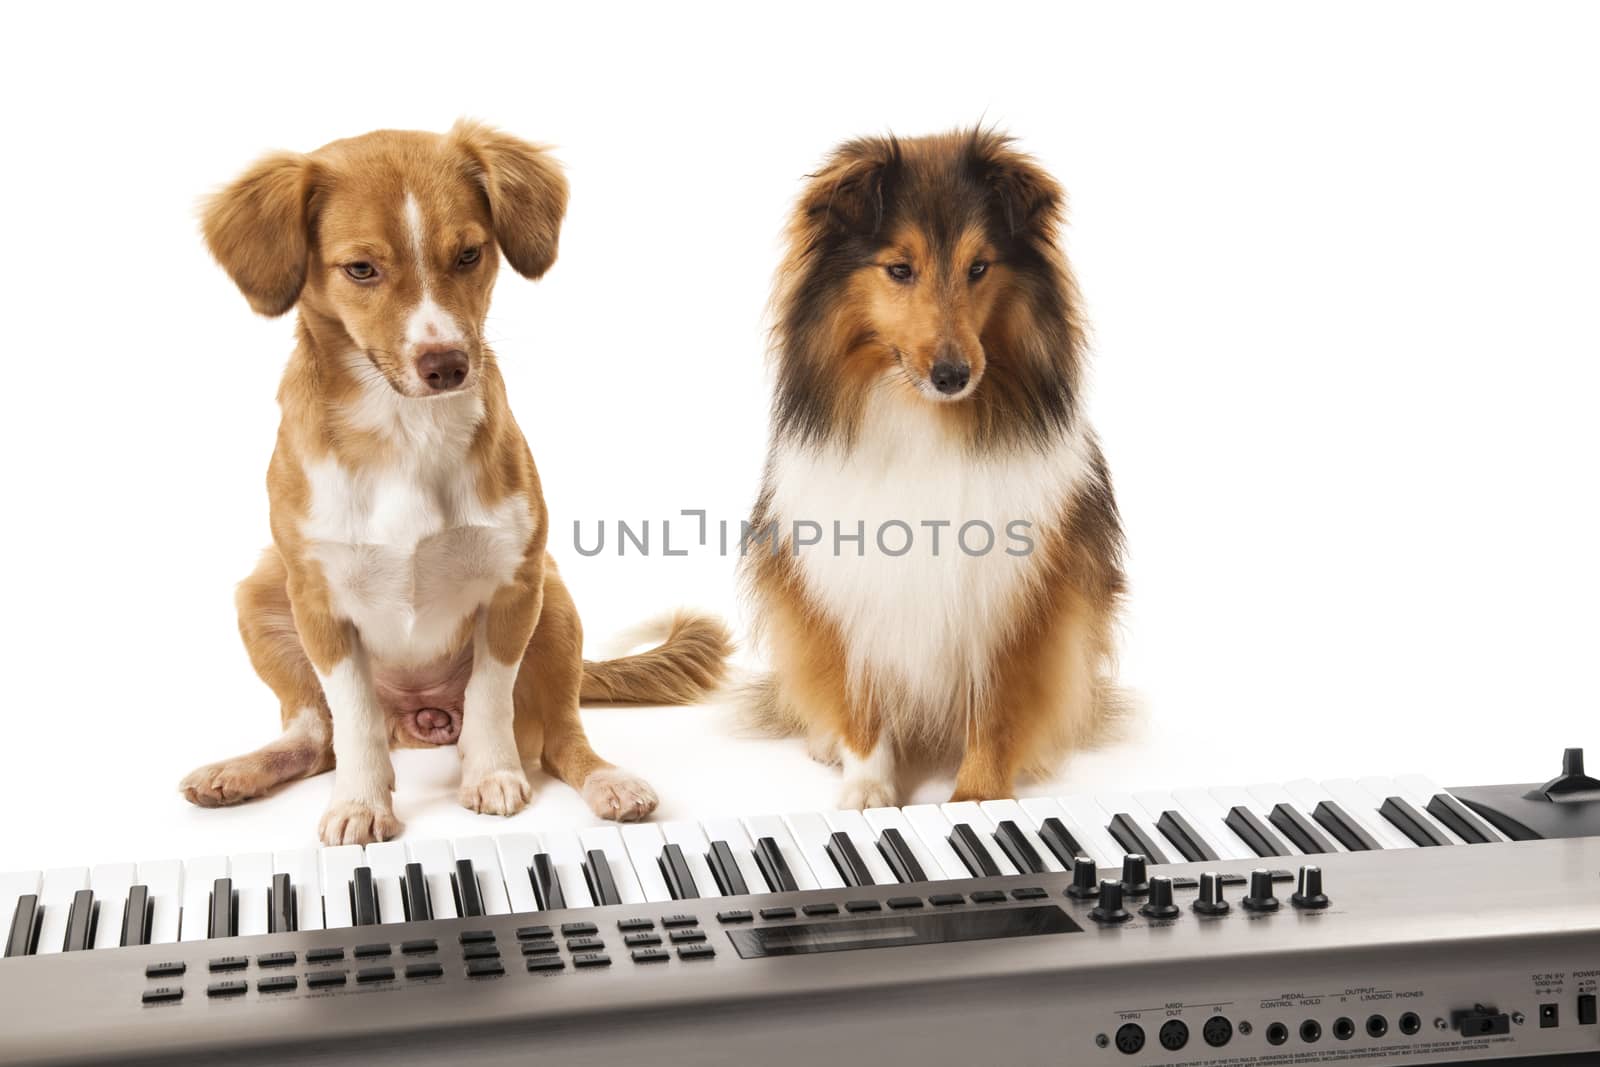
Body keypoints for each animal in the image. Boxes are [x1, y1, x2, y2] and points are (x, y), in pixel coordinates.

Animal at [180, 123, 726, 844]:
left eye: (469, 254)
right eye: (361, 269)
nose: (446, 364)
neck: (404, 430)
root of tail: (420, 717)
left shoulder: (514, 586)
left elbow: (491, 695)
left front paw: (491, 774)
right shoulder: (318, 603)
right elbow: (352, 718)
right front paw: (361, 801)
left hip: (556, 603)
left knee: (562, 736)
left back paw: (607, 780)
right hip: (261, 592)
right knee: (315, 735)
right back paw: (240, 770)